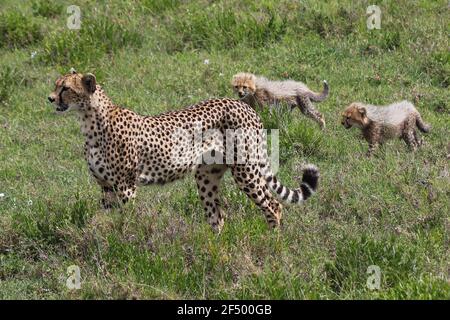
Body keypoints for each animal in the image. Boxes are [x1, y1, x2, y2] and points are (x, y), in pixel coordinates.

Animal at [47, 70, 318, 231]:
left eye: (65, 88)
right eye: (56, 85)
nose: (49, 98)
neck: (90, 122)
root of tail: (243, 105)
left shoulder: (125, 186)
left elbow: (127, 219)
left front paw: (127, 241)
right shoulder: (105, 187)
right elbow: (104, 219)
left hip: (246, 170)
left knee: (273, 205)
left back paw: (273, 242)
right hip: (207, 175)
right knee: (217, 216)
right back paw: (213, 249)